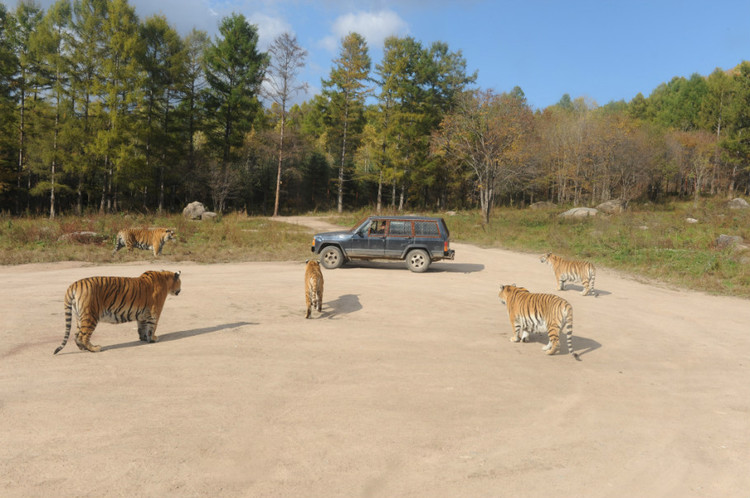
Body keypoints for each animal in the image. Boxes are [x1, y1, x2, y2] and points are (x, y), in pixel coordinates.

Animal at [53, 268, 183, 354]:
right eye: (180, 283)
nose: (180, 290)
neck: (164, 278)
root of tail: (74, 285)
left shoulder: (142, 314)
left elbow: (142, 327)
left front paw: (143, 338)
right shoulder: (154, 312)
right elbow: (152, 327)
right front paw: (153, 339)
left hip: (79, 316)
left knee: (76, 335)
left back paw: (83, 348)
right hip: (90, 316)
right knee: (82, 336)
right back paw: (94, 348)